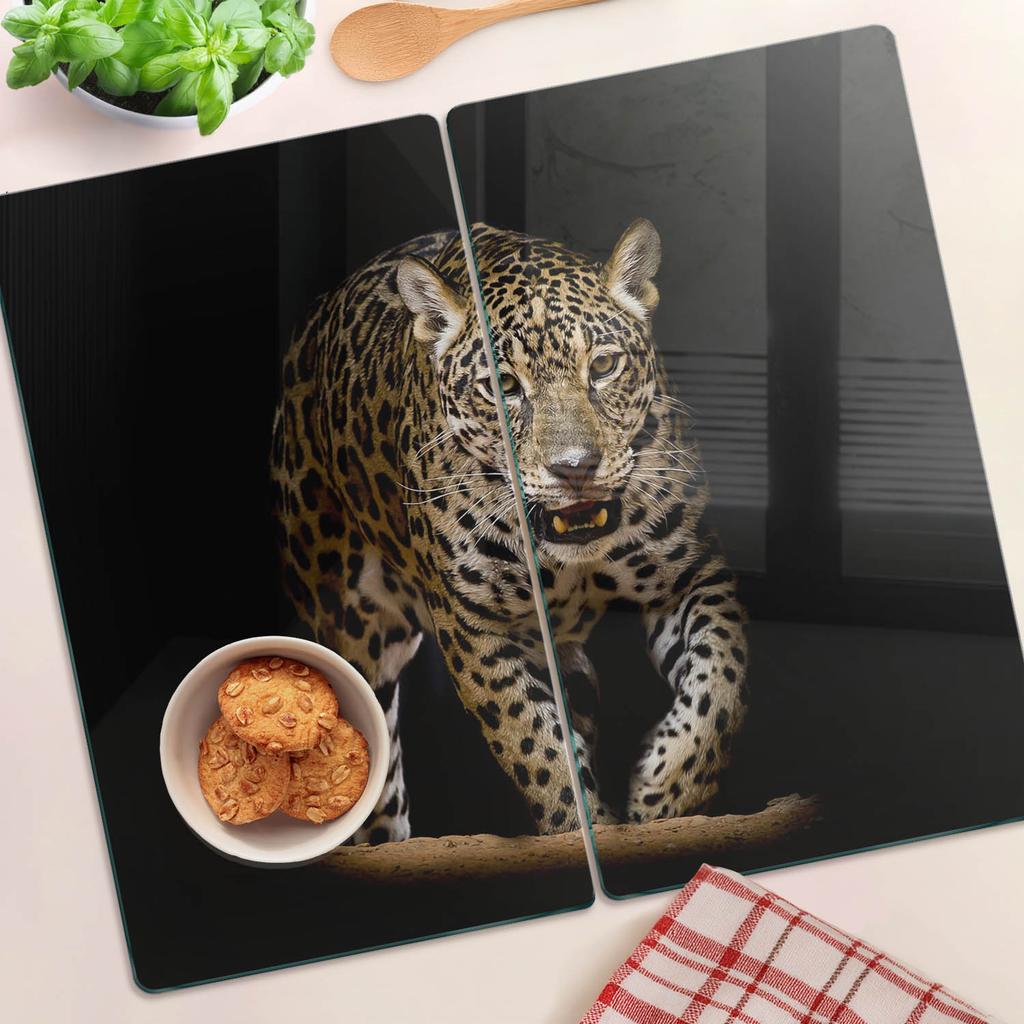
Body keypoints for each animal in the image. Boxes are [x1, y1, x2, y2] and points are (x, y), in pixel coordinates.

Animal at [270, 219, 749, 844]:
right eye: (503, 387)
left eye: (602, 366)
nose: (575, 467)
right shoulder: (475, 629)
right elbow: (537, 749)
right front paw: (581, 826)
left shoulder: (691, 572)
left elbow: (721, 683)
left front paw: (667, 794)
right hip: (349, 625)